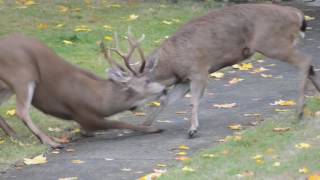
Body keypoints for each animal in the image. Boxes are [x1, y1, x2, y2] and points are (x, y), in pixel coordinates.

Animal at [0, 31, 168, 148]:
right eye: (147, 80)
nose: (165, 89)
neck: (101, 100)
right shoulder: (83, 115)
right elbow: (118, 123)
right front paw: (153, 128)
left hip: (6, 86)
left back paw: (15, 135)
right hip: (22, 74)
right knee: (21, 110)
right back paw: (51, 142)